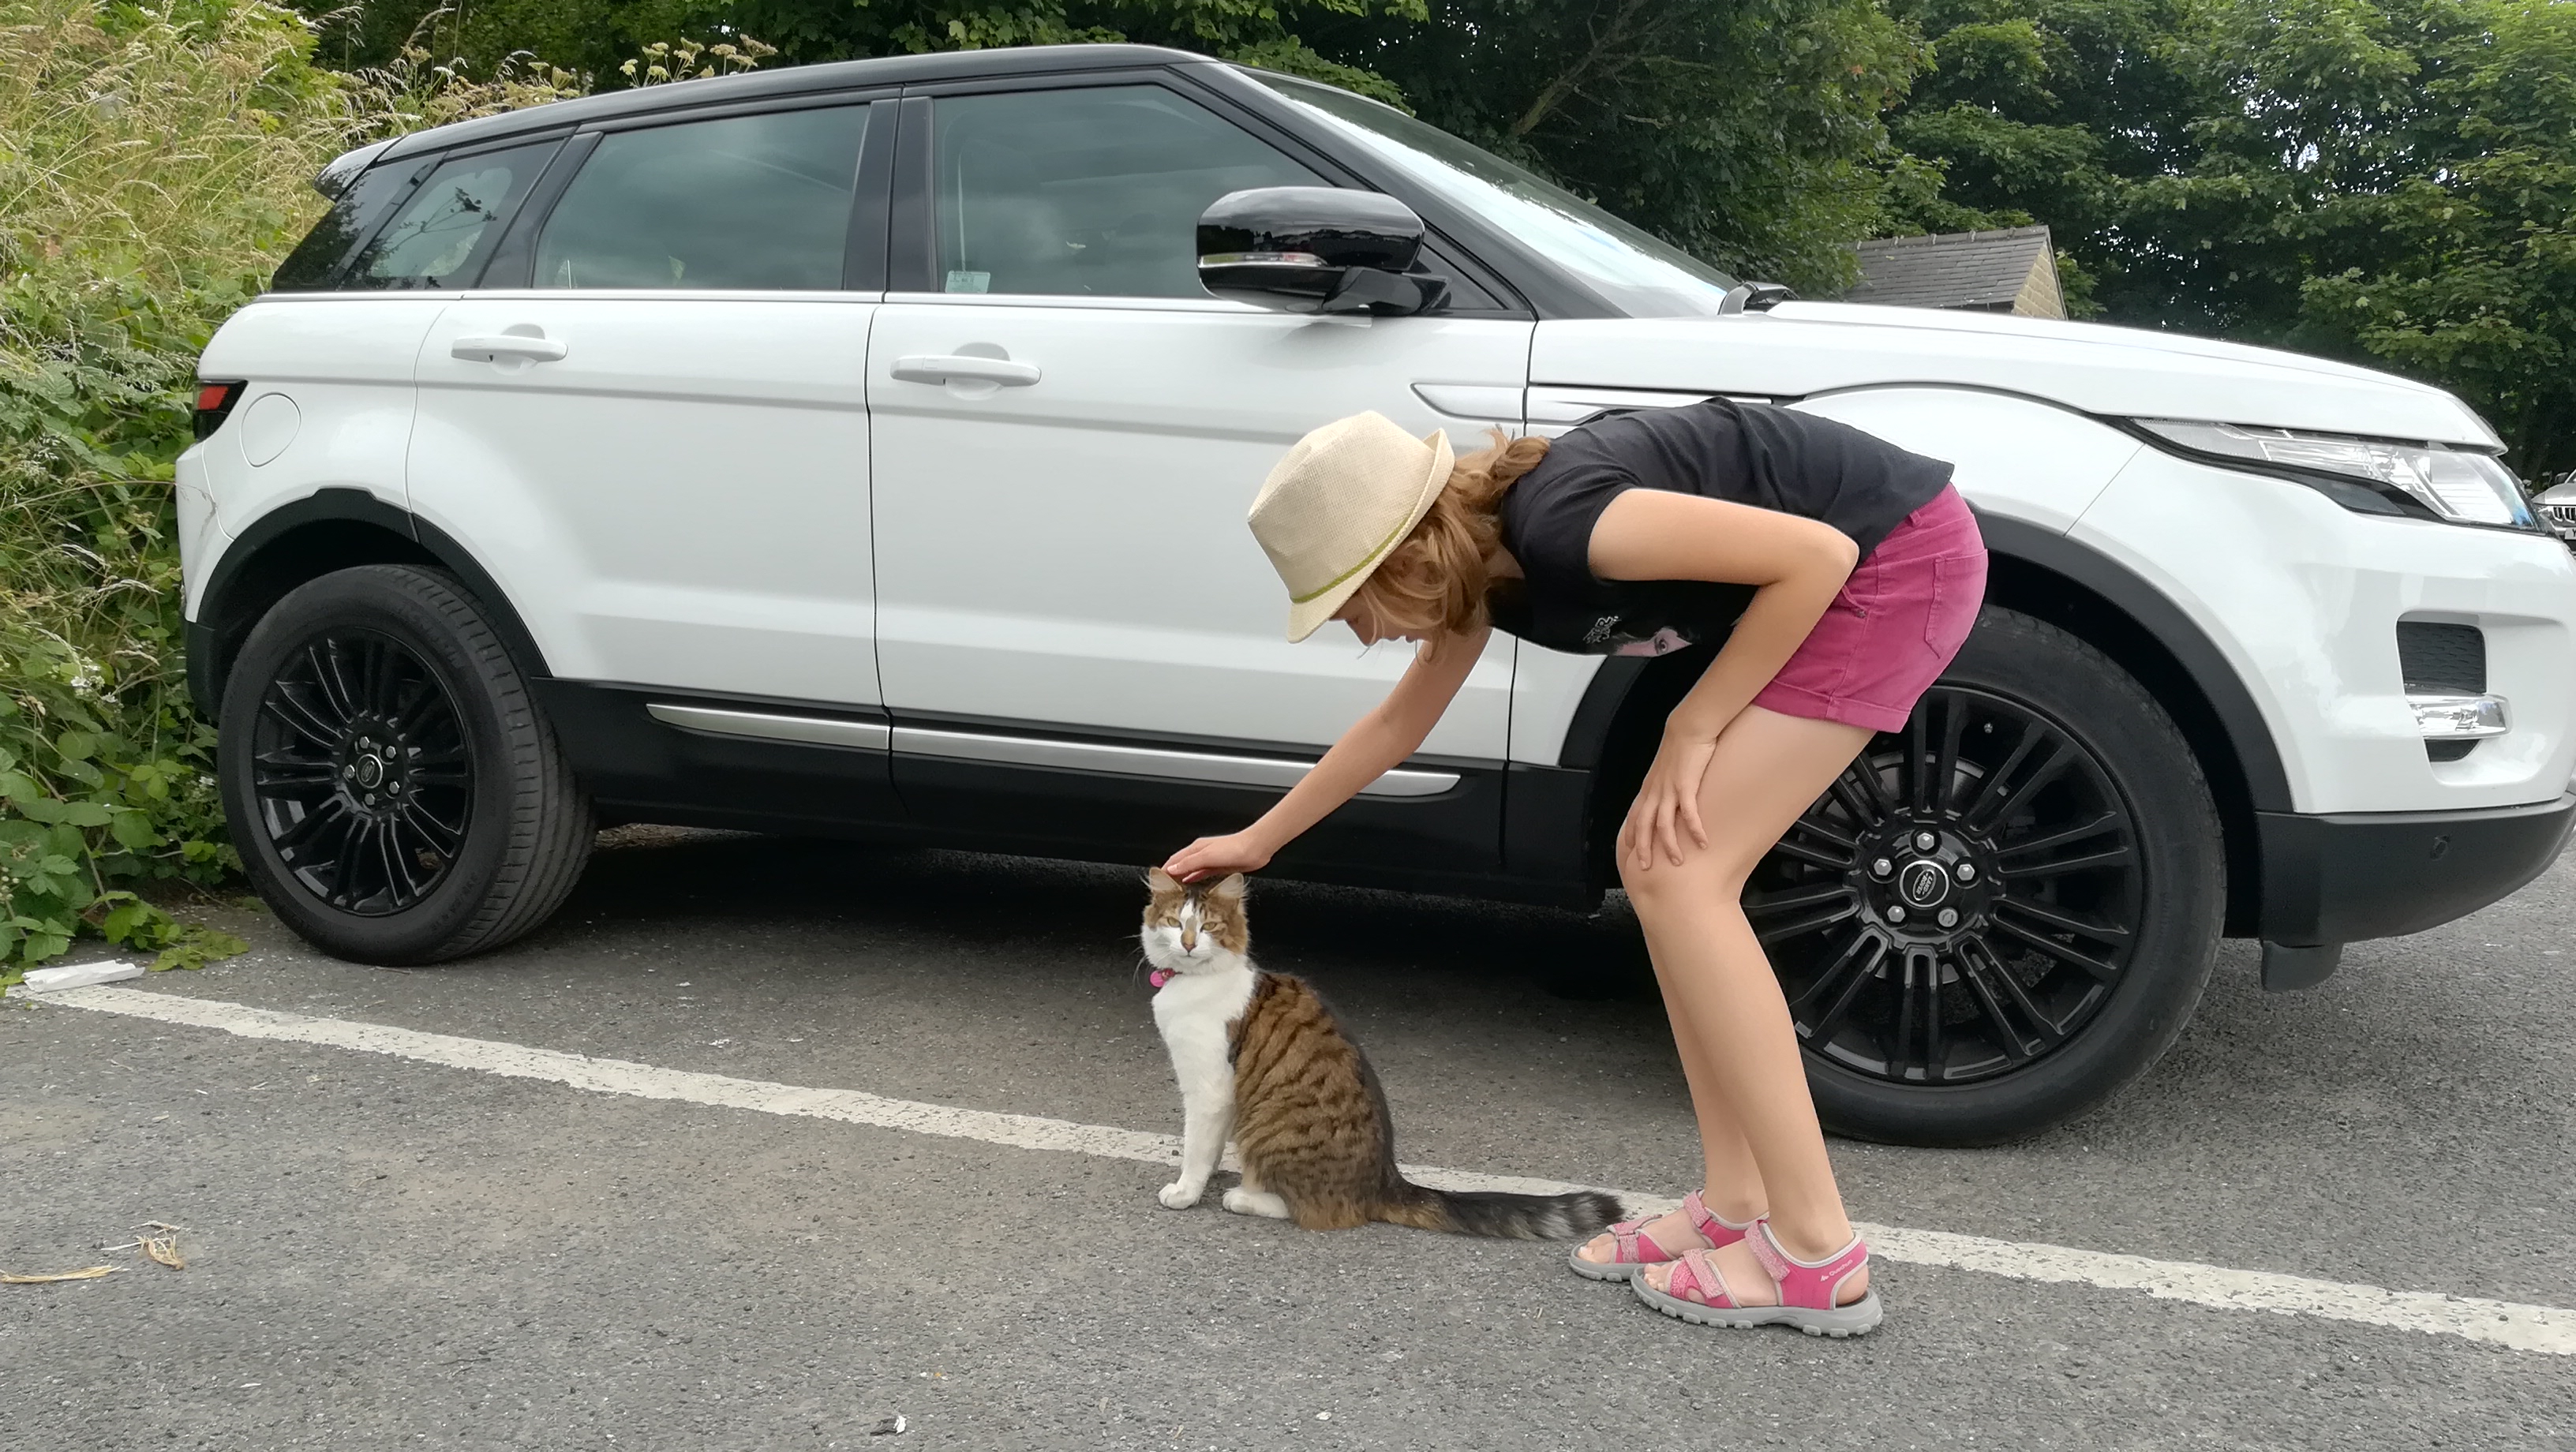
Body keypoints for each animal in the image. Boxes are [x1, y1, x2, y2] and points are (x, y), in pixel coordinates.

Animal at [1140, 868, 1623, 1239]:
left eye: (1207, 928)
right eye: (1175, 922)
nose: (1188, 944)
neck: (1193, 982)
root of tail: (1385, 1181)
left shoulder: (1209, 1088)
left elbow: (1197, 1147)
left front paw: (1186, 1191)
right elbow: (1208, 1146)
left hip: (1267, 1134)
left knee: (1319, 1211)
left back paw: (1243, 1197)